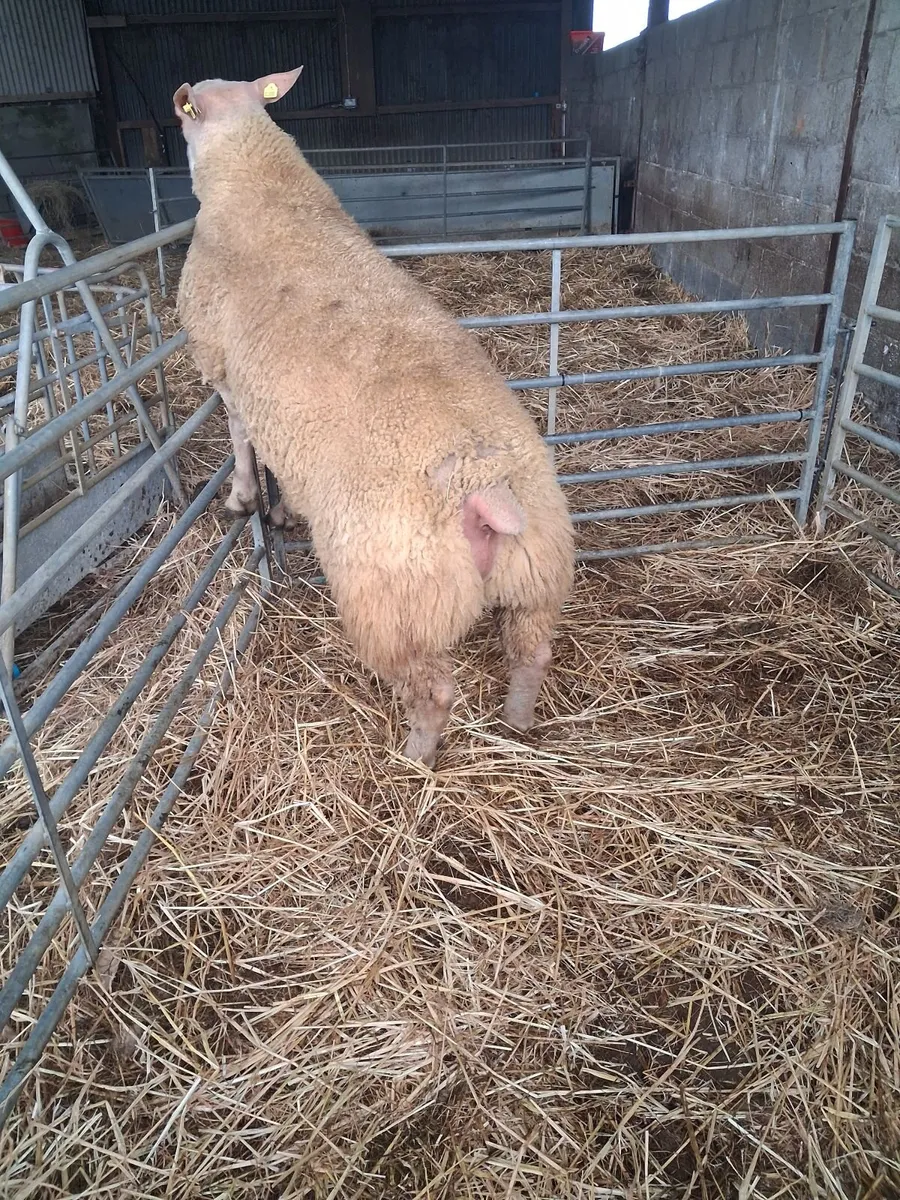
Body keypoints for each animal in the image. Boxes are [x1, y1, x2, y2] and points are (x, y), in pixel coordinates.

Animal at [174, 68, 575, 767]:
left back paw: (415, 757)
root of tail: (484, 489)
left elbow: (242, 436)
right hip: (536, 573)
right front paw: (281, 509)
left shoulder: (220, 363)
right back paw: (519, 719)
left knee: (434, 691)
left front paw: (244, 498)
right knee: (531, 654)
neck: (256, 180)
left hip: (395, 603)